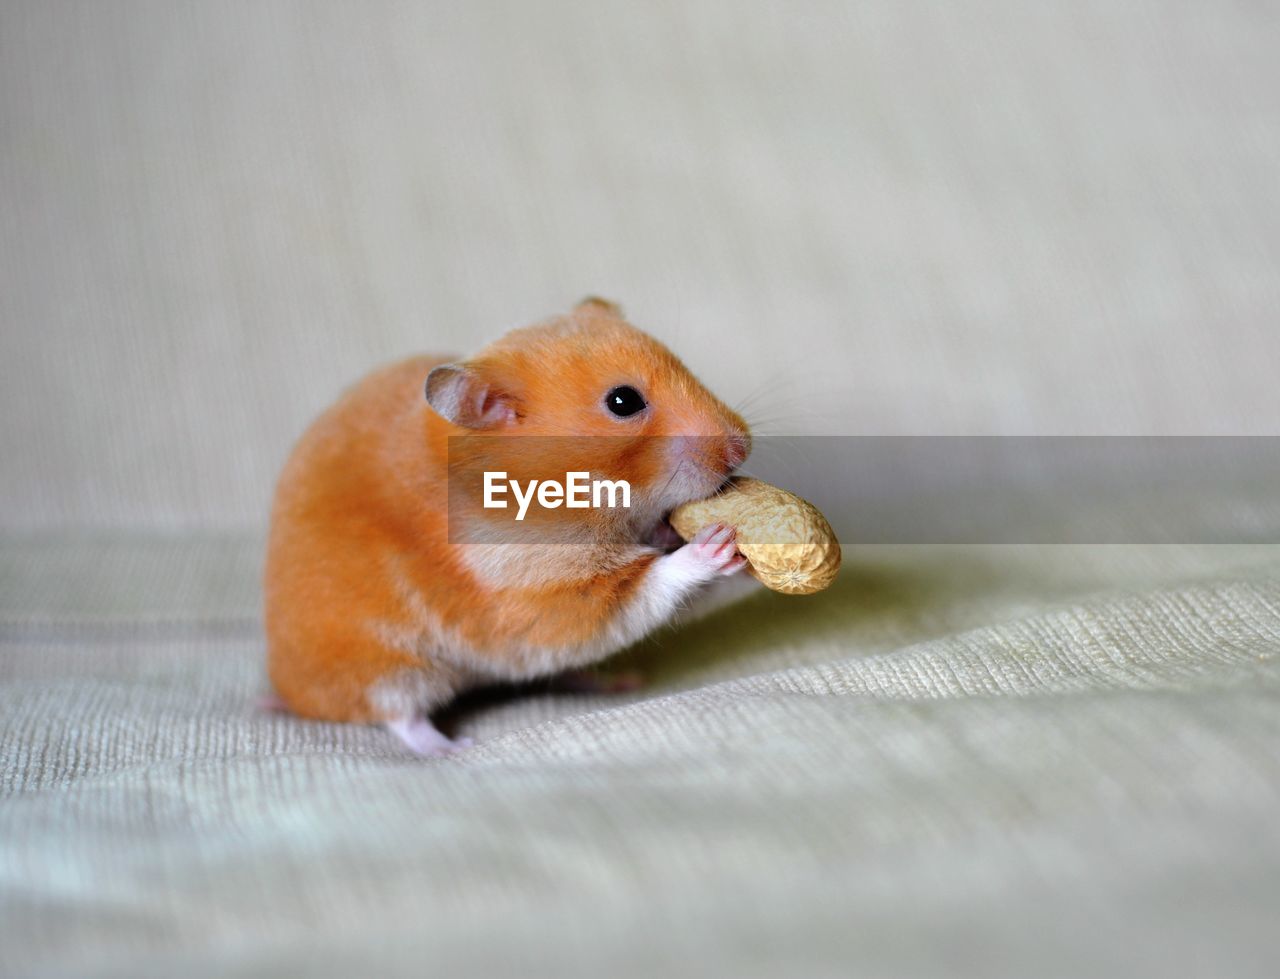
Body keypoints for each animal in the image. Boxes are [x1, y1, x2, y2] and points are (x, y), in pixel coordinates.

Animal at [264, 298, 752, 757]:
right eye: (623, 401)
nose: (742, 447)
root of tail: (287, 688)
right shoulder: (548, 596)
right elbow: (647, 586)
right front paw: (714, 545)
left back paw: (618, 680)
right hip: (388, 666)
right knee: (400, 717)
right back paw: (451, 748)